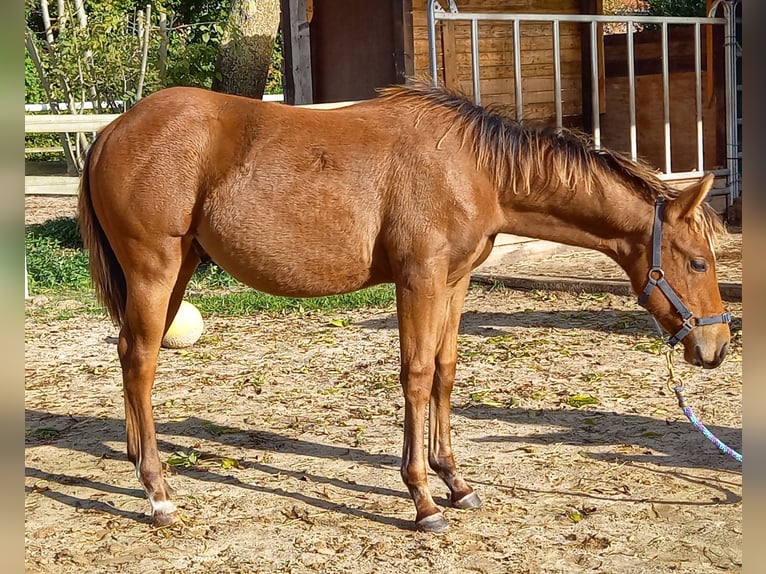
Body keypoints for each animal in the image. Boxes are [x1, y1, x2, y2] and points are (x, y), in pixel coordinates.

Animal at [78, 82, 732, 536]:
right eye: (699, 262)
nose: (716, 346)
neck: (473, 169)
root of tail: (111, 131)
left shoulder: (455, 282)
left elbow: (443, 374)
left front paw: (455, 482)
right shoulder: (419, 279)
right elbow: (415, 377)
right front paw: (422, 500)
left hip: (179, 269)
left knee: (130, 357)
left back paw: (141, 464)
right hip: (155, 270)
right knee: (140, 361)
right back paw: (158, 493)